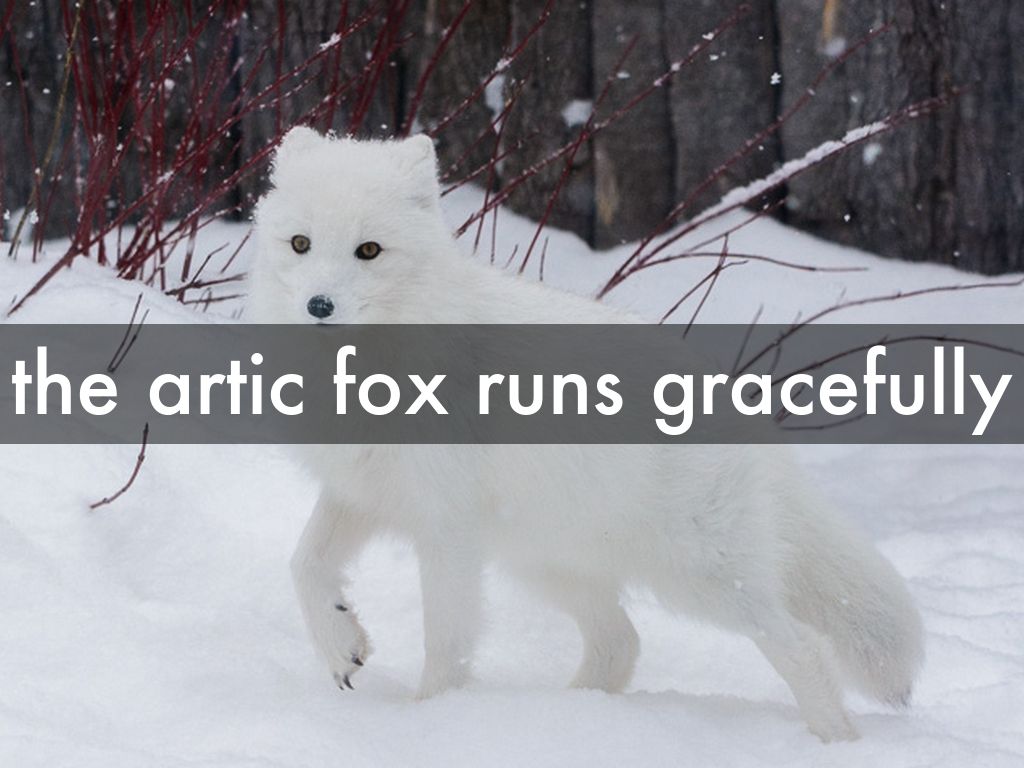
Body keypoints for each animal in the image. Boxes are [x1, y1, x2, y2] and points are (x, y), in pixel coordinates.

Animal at [248, 127, 924, 742]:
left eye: (368, 250)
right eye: (301, 243)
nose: (318, 306)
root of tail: (737, 405)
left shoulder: (445, 525)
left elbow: (446, 639)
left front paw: (432, 721)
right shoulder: (361, 491)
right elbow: (304, 565)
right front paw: (341, 644)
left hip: (697, 574)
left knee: (799, 643)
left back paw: (835, 741)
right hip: (546, 559)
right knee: (621, 642)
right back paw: (575, 720)